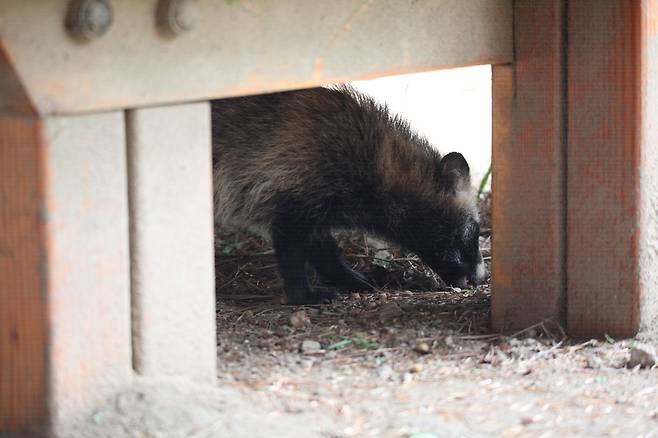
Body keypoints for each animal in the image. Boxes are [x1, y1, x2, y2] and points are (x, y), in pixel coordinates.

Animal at [213, 86, 484, 304]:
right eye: (474, 231)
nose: (482, 277)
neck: (380, 162)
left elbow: (321, 248)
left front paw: (353, 278)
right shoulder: (297, 184)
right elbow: (292, 246)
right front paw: (301, 292)